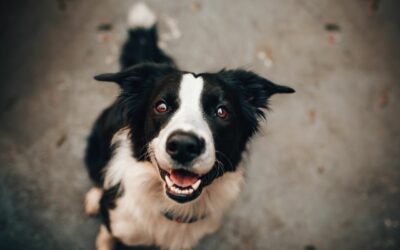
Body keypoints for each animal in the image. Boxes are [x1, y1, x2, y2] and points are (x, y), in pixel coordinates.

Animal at [83, 2, 294, 250]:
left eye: (222, 111)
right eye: (161, 106)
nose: (184, 146)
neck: (173, 207)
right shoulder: (118, 221)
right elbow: (107, 234)